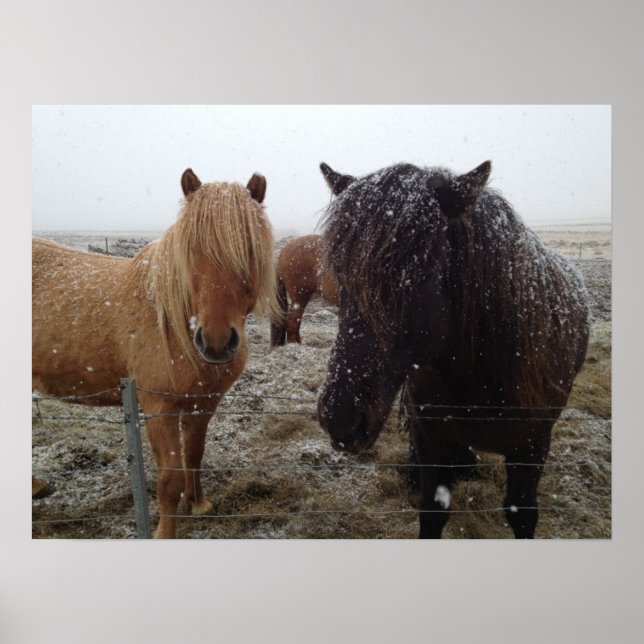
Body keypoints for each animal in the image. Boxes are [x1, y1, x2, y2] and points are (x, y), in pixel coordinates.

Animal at [32, 168, 276, 538]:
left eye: (248, 249)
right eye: (192, 250)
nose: (217, 342)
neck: (173, 325)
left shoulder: (202, 403)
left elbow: (195, 455)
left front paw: (199, 504)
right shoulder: (158, 408)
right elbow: (169, 479)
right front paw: (165, 533)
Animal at [316, 160, 590, 538]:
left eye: (420, 275)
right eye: (340, 275)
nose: (341, 420)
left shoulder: (532, 448)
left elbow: (522, 515)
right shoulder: (432, 438)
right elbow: (432, 511)